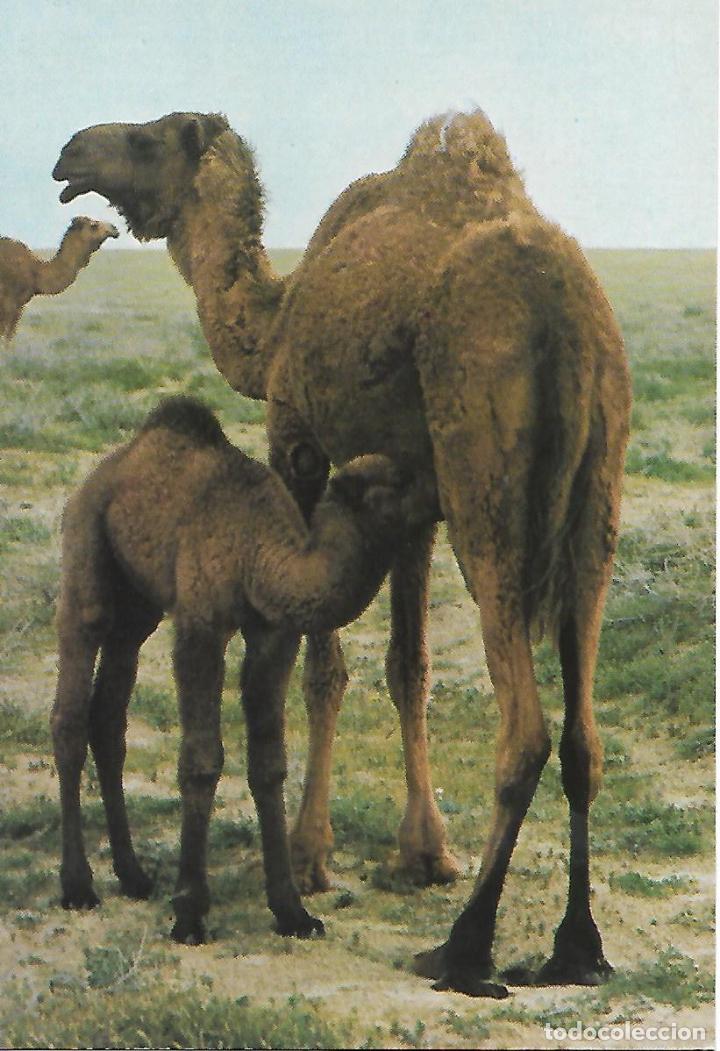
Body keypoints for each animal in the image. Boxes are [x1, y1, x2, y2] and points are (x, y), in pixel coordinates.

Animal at [51, 395, 418, 944]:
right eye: (393, 485)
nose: (442, 501)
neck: (260, 553)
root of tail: (109, 468)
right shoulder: (201, 623)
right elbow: (202, 759)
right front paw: (189, 913)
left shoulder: (273, 635)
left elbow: (268, 764)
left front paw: (292, 911)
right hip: (87, 556)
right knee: (71, 713)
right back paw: (78, 887)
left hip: (137, 609)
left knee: (109, 720)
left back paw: (133, 875)